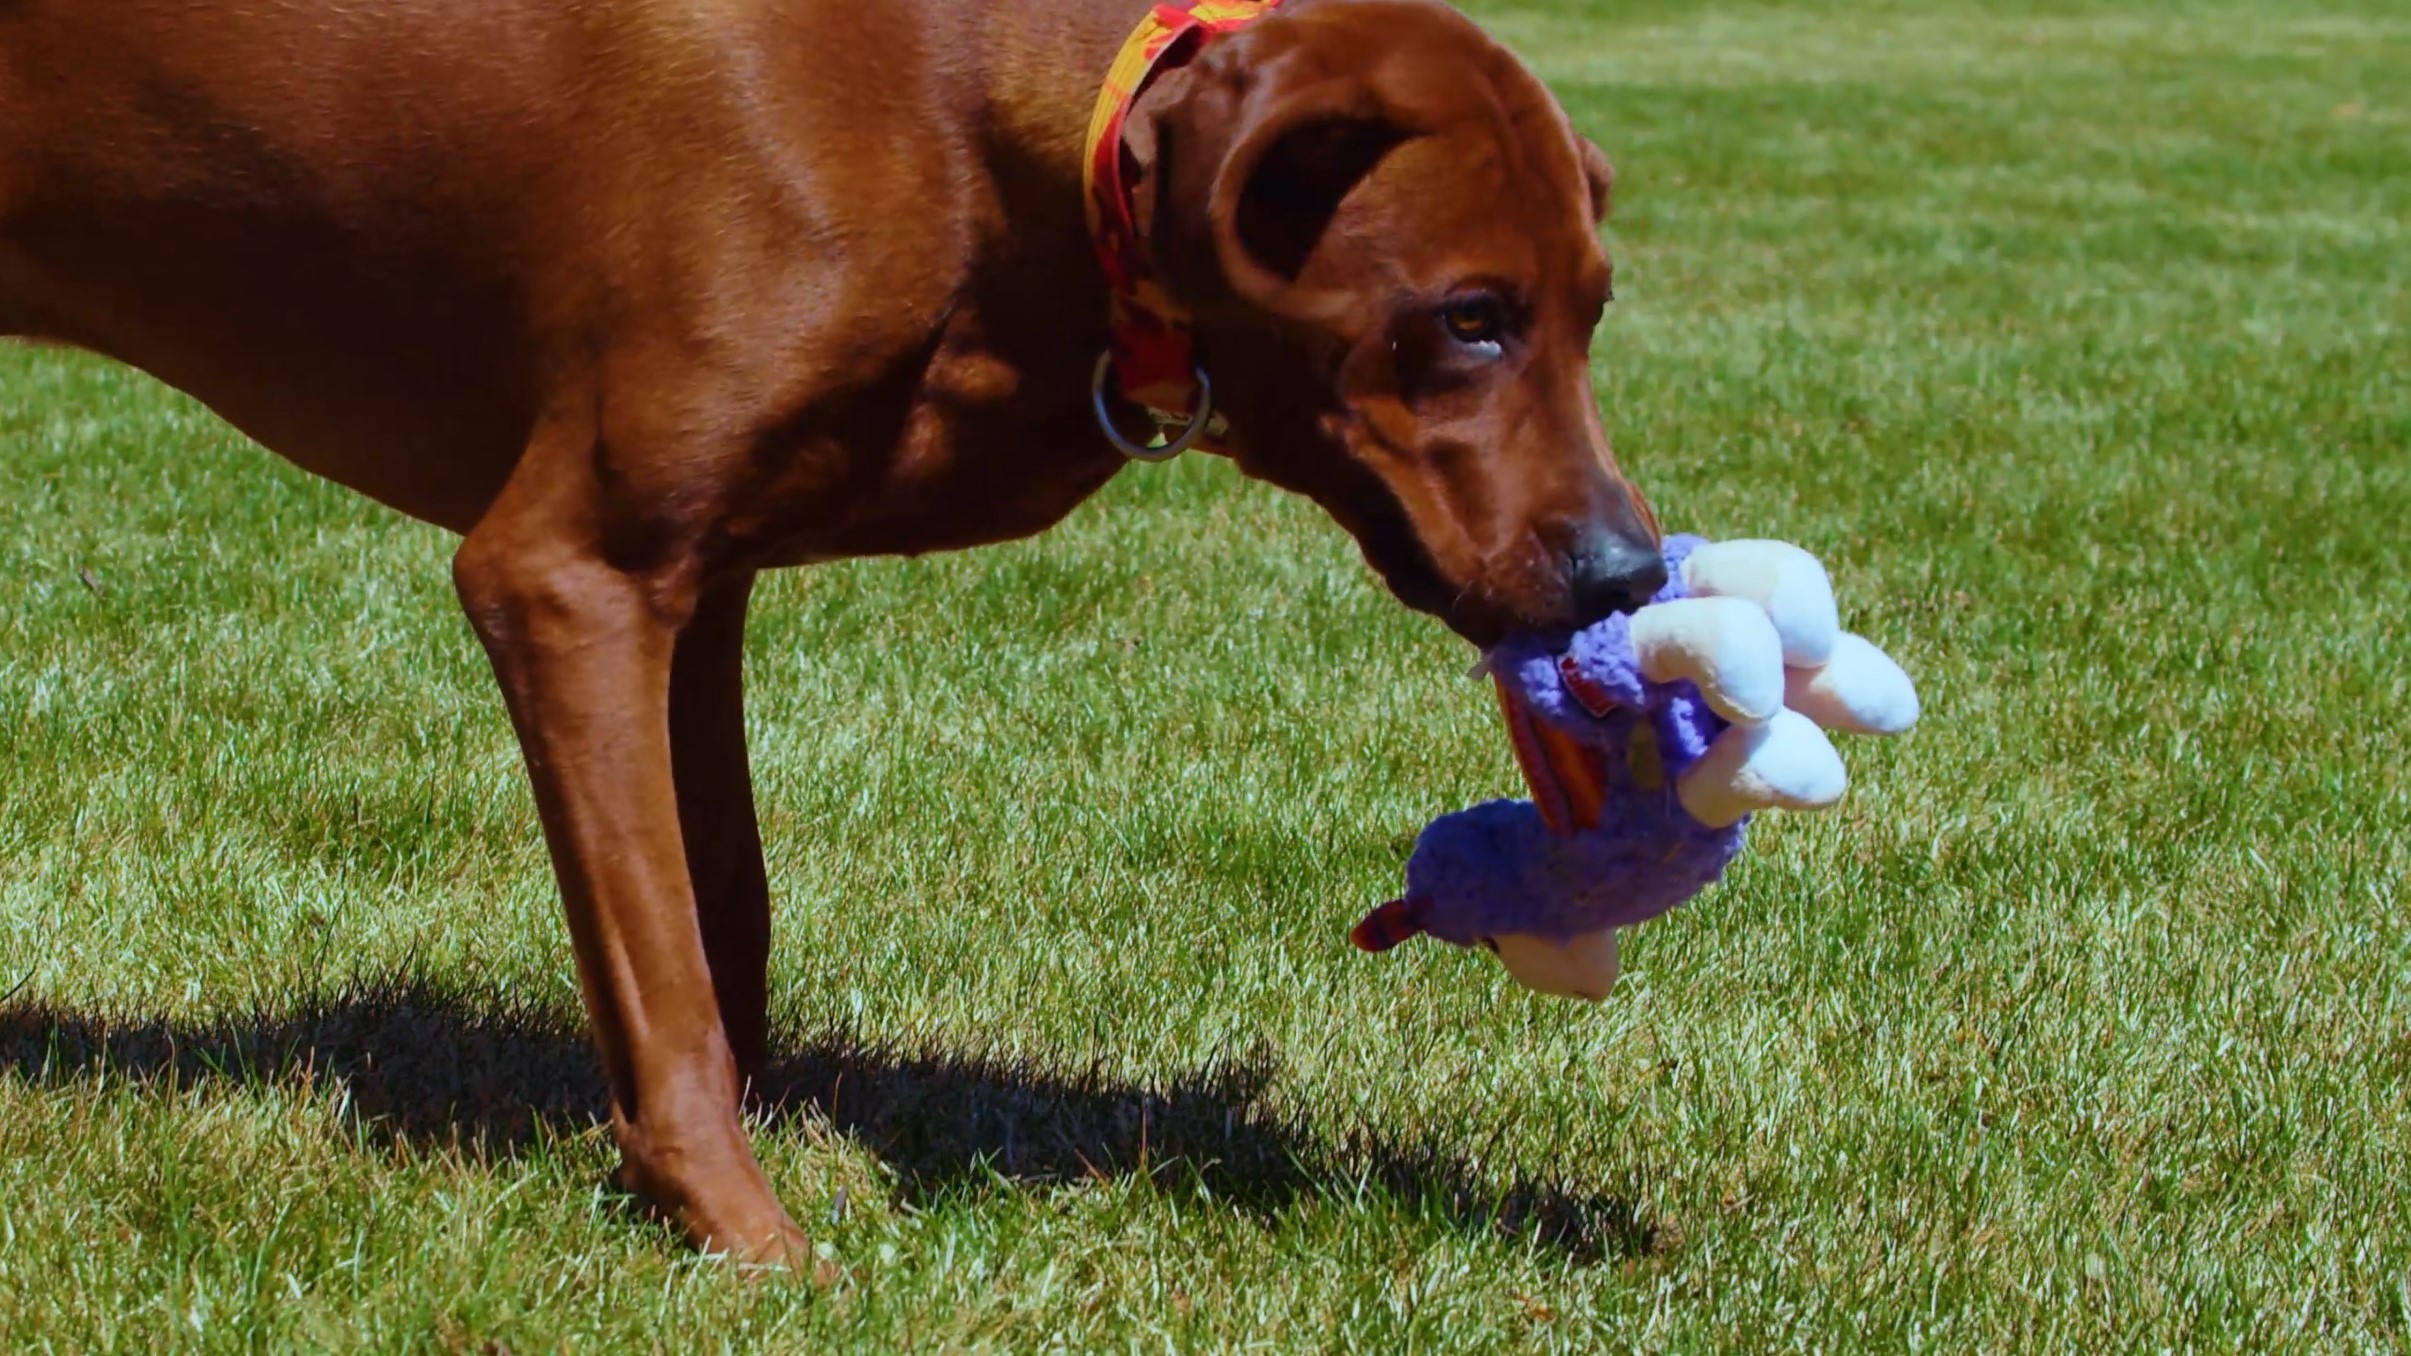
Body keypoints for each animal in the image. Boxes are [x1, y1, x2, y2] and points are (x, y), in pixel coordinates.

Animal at [0, 0, 1658, 1254]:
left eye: (1590, 309)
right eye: (1465, 319)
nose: (1626, 577)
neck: (980, 132)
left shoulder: (699, 592)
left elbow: (716, 907)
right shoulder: (566, 578)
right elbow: (662, 966)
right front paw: (739, 1230)